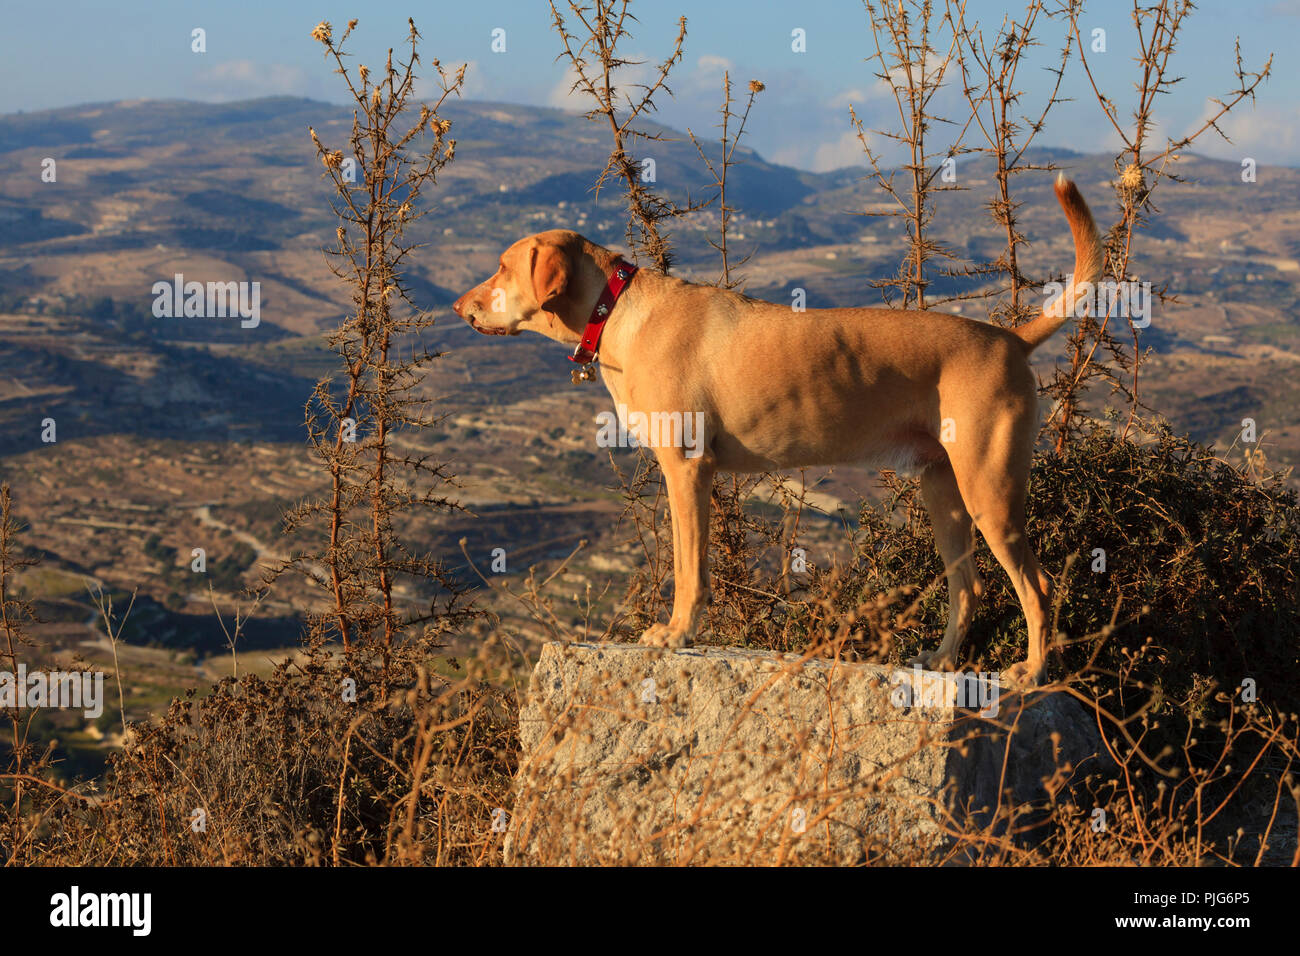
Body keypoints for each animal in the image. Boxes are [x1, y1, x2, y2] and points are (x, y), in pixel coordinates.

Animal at [452, 174, 1102, 686]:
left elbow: (690, 569)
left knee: (1040, 588)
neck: (617, 310)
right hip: (945, 493)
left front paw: (677, 634)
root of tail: (1011, 338)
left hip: (990, 493)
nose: (459, 308)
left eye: (503, 268)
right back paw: (941, 662)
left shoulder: (687, 471)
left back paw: (1033, 672)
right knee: (967, 590)